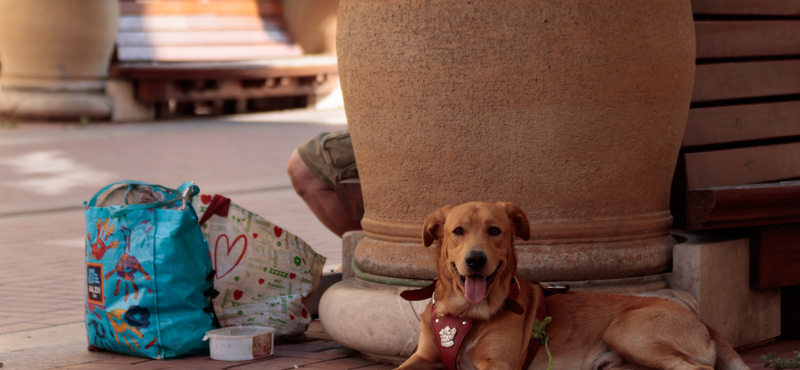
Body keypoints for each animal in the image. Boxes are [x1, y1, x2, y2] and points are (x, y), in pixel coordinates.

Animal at [396, 202, 748, 370]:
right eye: (458, 231)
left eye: (494, 230)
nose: (475, 260)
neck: (465, 314)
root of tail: (704, 323)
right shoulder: (423, 357)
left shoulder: (498, 365)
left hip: (627, 332)